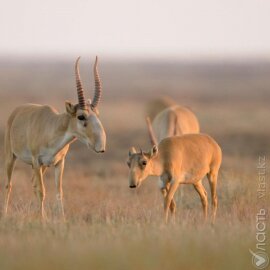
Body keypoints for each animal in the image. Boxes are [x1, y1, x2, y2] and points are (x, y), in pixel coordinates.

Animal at [3, 56, 106, 219]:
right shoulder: (36, 161)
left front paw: (61, 219)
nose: (101, 146)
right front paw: (42, 219)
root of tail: (16, 112)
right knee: (9, 185)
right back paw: (5, 214)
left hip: (43, 166)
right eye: (81, 116)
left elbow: (59, 192)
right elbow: (42, 191)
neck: (52, 128)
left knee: (33, 183)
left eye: (97, 114)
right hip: (11, 158)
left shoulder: (59, 163)